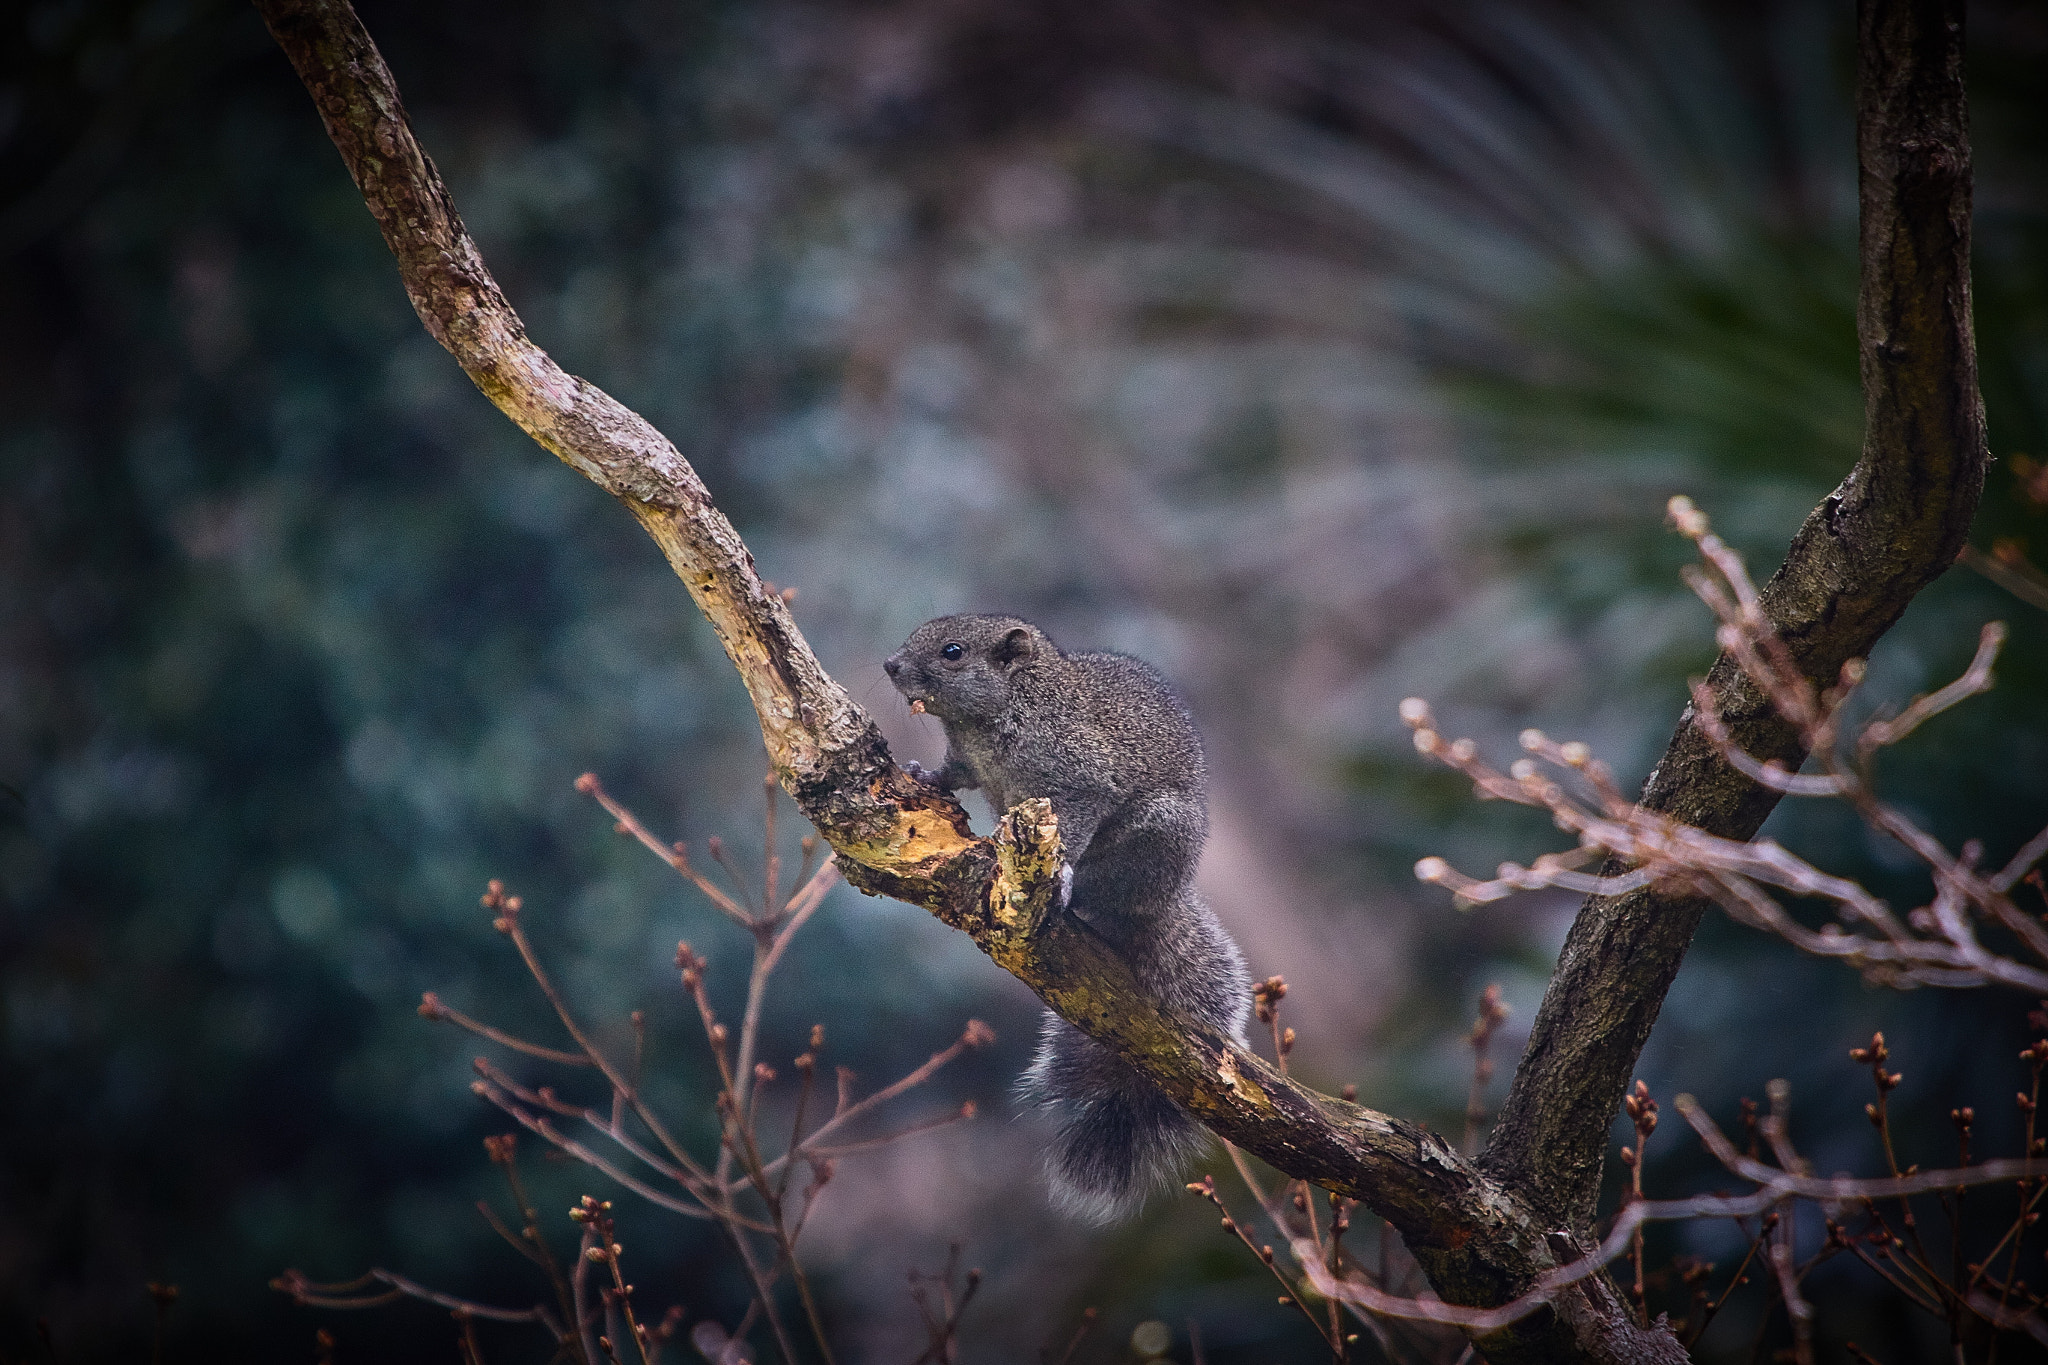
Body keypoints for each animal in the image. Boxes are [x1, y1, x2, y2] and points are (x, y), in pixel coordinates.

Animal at [880, 613, 1245, 1219]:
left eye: (953, 651)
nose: (890, 665)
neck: (999, 712)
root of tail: (1160, 901)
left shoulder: (1080, 778)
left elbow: (1077, 818)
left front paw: (1065, 870)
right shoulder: (968, 761)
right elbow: (952, 774)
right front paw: (922, 775)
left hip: (1151, 836)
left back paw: (1072, 887)